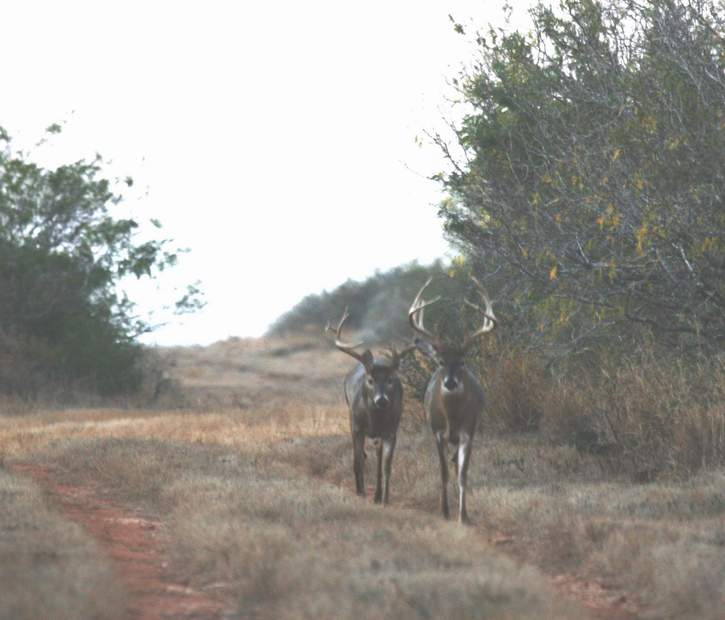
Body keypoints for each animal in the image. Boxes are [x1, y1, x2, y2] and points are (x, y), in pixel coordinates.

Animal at [324, 308, 410, 506]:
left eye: (390, 380)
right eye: (370, 380)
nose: (381, 400)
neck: (374, 419)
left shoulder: (391, 431)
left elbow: (386, 466)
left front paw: (385, 500)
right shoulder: (357, 426)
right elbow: (358, 461)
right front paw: (360, 493)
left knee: (378, 457)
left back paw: (377, 496)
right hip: (350, 415)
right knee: (361, 456)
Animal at [408, 276, 498, 524]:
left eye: (462, 362)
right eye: (440, 361)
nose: (449, 382)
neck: (453, 418)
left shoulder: (469, 429)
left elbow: (463, 474)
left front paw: (463, 515)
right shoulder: (437, 430)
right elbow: (443, 472)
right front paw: (444, 511)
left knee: (457, 465)